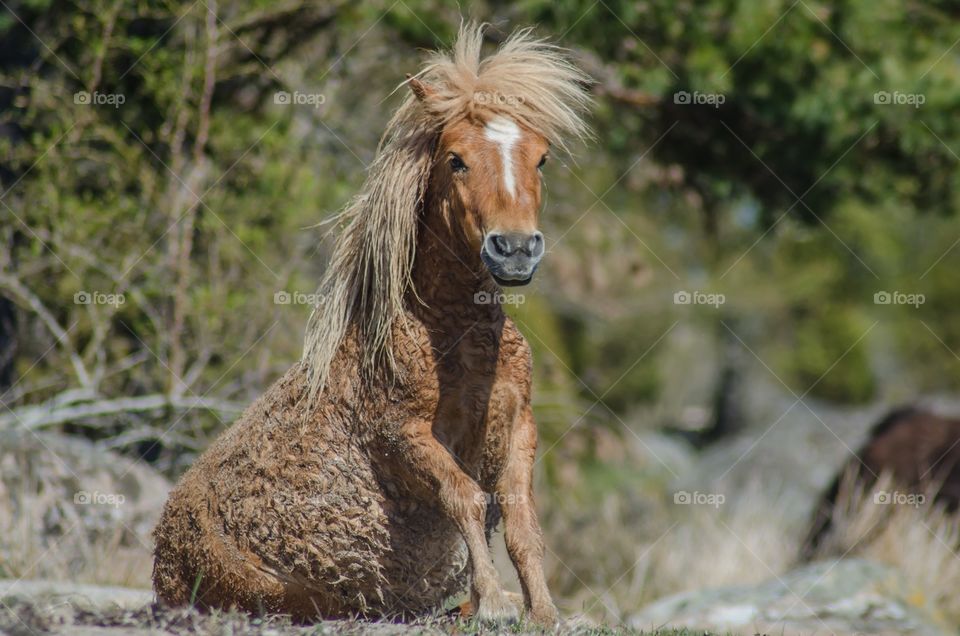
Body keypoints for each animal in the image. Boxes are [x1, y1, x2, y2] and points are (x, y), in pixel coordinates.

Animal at [151, 21, 592, 628]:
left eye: (542, 158)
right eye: (456, 159)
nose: (516, 249)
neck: (453, 337)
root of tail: (162, 554)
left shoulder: (518, 425)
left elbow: (522, 521)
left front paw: (543, 613)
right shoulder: (403, 435)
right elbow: (466, 498)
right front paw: (495, 604)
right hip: (281, 594)